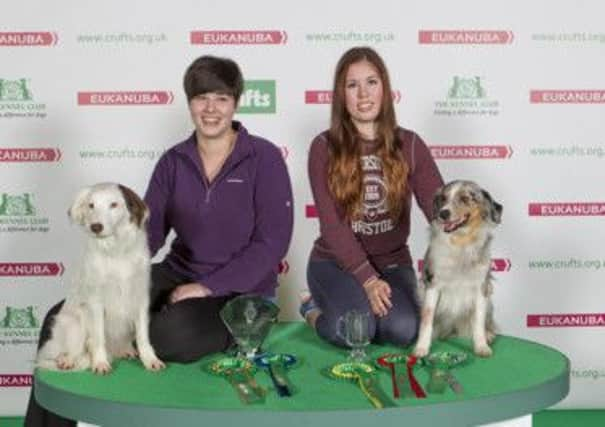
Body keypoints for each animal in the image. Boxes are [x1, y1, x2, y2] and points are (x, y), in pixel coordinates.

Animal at [37, 184, 165, 374]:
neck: (115, 251)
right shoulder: (95, 302)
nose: (95, 227)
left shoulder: (140, 298)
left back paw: (125, 349)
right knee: (76, 347)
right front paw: (100, 363)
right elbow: (98, 338)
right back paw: (67, 359)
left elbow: (143, 336)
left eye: (114, 204)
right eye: (91, 205)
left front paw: (150, 359)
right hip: (76, 319)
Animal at [412, 180, 502, 358]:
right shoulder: (433, 284)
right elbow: (427, 319)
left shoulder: (481, 286)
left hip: (489, 301)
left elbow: (478, 321)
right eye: (443, 198)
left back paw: (489, 335)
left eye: (465, 198)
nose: (443, 213)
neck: (461, 242)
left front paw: (481, 346)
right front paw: (421, 348)